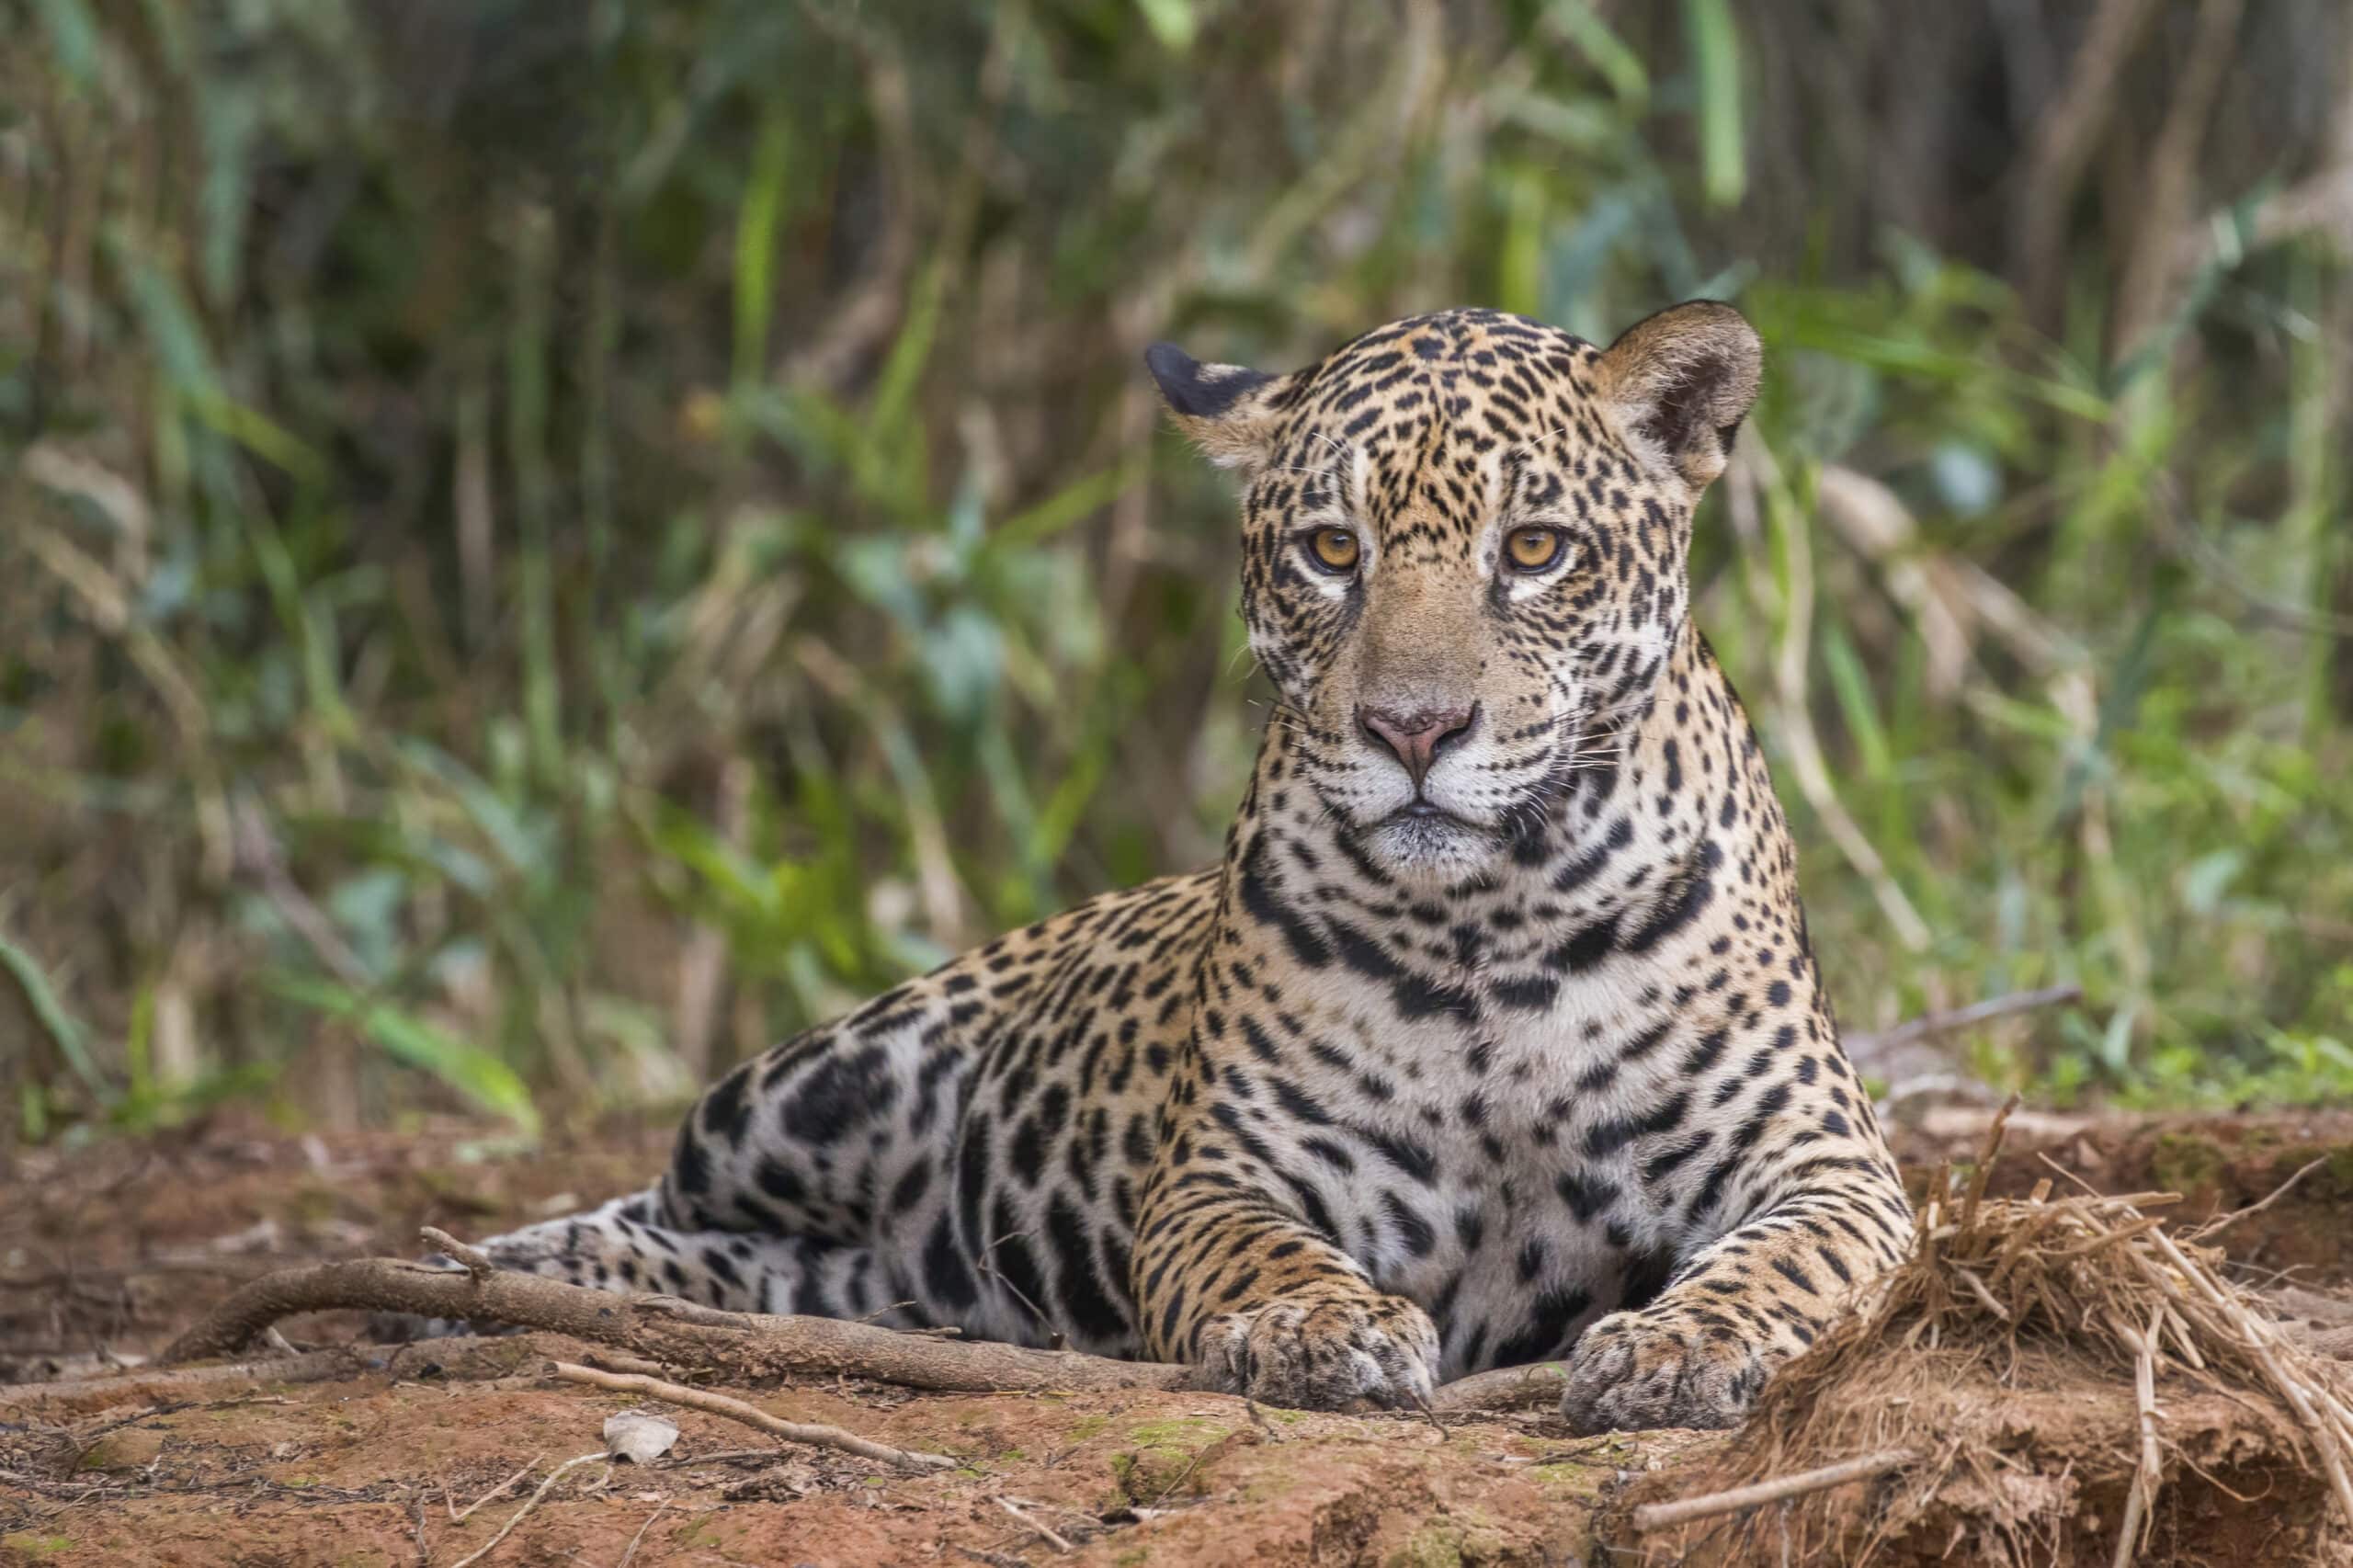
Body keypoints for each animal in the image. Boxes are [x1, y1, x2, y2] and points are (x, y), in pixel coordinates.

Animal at [431, 301, 1915, 1434]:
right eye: (1332, 550)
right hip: (799, 1091)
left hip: (873, 1268)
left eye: (1536, 549)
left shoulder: (1827, 1159)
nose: (1413, 728)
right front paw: (1320, 1325)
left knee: (786, 1275)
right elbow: (1260, 1250)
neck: (1489, 919)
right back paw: (501, 1268)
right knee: (672, 1200)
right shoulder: (1228, 1170)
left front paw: (1676, 1347)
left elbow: (1782, 1259)